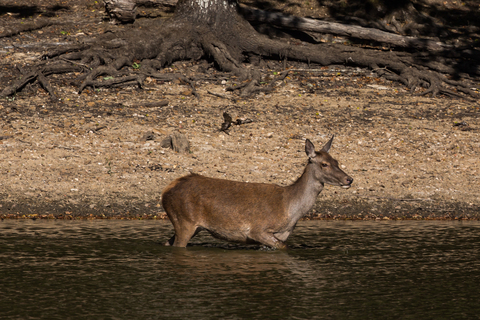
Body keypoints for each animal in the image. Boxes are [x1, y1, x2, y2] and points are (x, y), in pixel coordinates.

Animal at [161, 136, 352, 249]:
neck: (290, 210)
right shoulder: (258, 230)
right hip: (184, 220)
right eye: (324, 164)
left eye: (336, 161)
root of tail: (166, 190)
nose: (349, 179)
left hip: (190, 224)